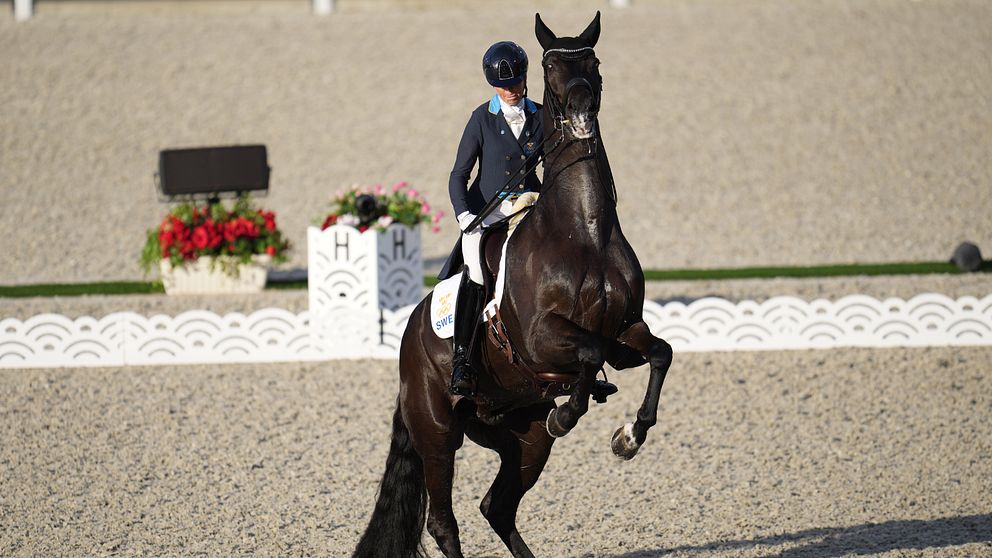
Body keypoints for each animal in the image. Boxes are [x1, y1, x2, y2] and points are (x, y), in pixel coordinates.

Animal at [352, 10, 672, 556]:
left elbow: (658, 353)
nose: (582, 111)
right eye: (550, 66)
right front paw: (572, 415)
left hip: (517, 431)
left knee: (496, 506)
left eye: (594, 62)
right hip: (439, 433)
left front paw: (628, 438)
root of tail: (410, 340)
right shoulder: (542, 339)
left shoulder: (624, 331)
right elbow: (588, 353)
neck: (584, 231)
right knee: (443, 521)